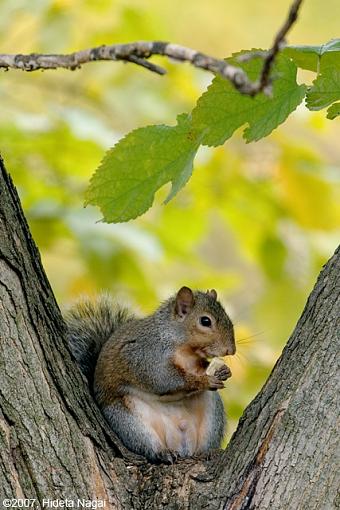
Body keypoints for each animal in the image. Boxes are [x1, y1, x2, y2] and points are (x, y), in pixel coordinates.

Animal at [65, 286, 235, 462]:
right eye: (205, 321)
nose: (231, 350)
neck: (184, 349)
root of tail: (182, 447)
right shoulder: (146, 356)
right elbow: (165, 379)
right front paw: (203, 381)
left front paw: (223, 371)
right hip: (128, 421)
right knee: (147, 445)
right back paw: (163, 452)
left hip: (212, 411)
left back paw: (208, 452)